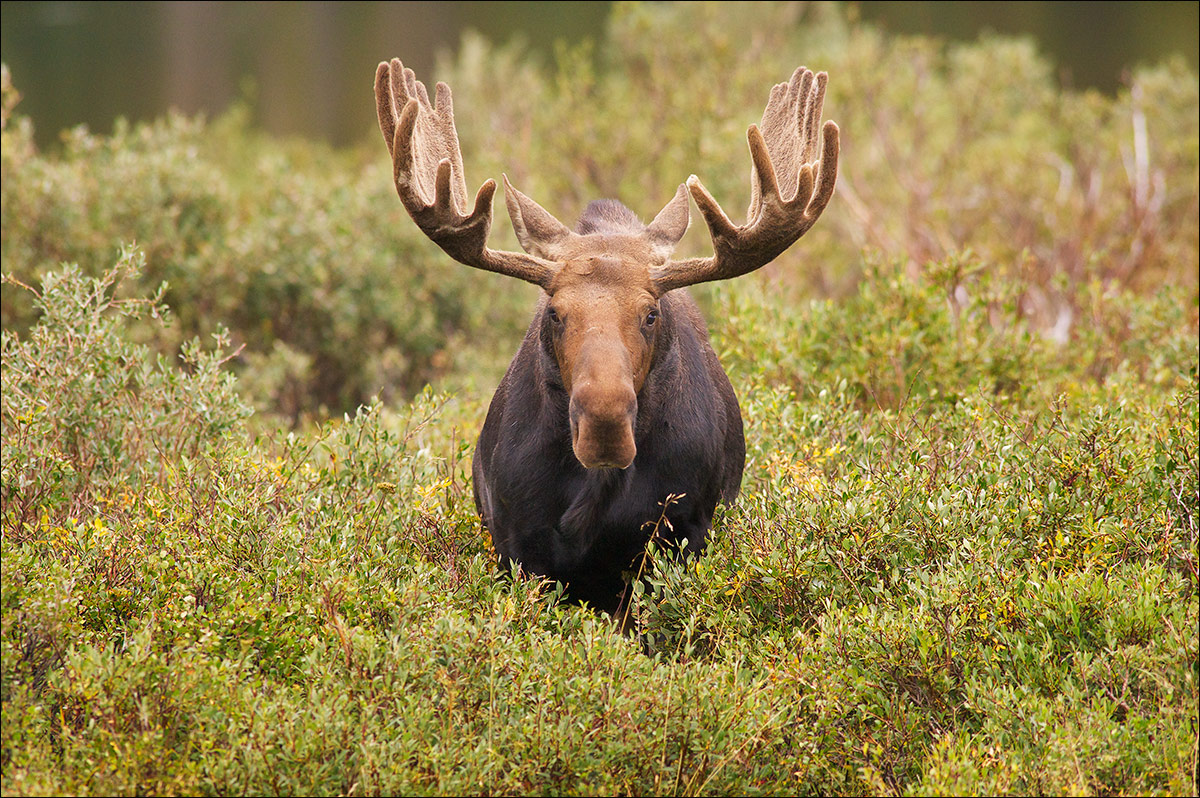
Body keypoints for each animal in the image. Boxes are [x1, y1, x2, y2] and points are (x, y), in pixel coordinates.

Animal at [372, 57, 835, 614]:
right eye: (554, 313)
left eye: (651, 314)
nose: (604, 423)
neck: (596, 493)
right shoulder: (515, 544)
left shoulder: (684, 536)